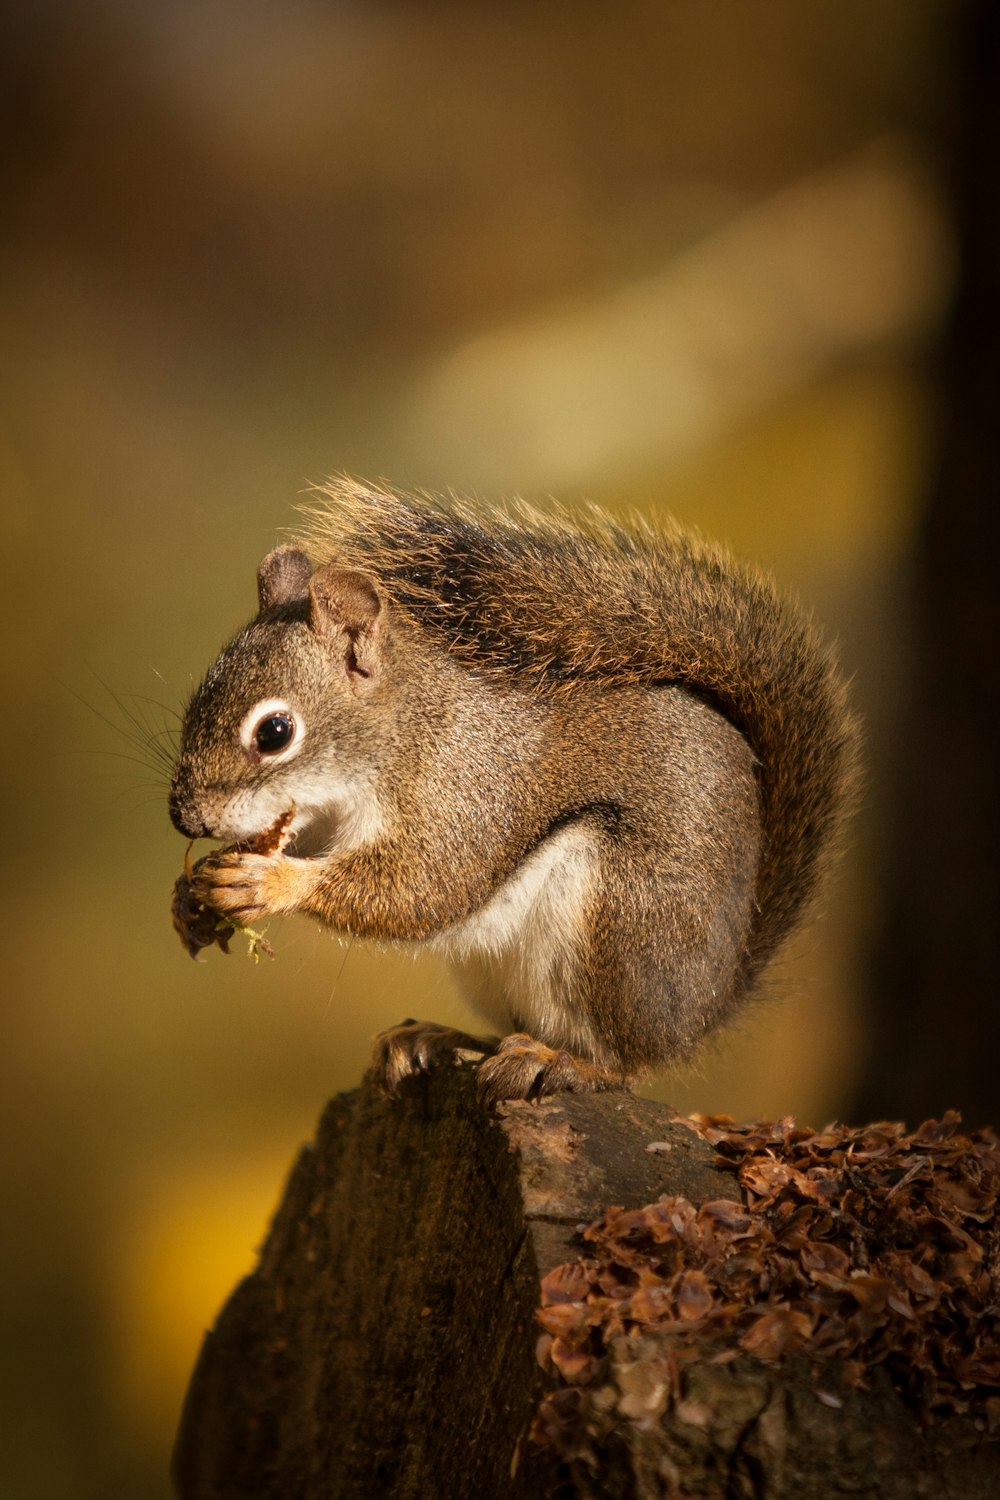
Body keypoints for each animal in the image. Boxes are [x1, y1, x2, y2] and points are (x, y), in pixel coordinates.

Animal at [167, 480, 857, 1104]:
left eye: (275, 732)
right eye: (197, 695)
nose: (185, 819)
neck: (407, 731)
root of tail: (704, 1008)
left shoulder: (464, 795)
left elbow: (419, 888)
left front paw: (269, 883)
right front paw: (190, 897)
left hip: (621, 927)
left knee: (625, 1063)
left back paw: (563, 1064)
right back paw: (438, 1037)